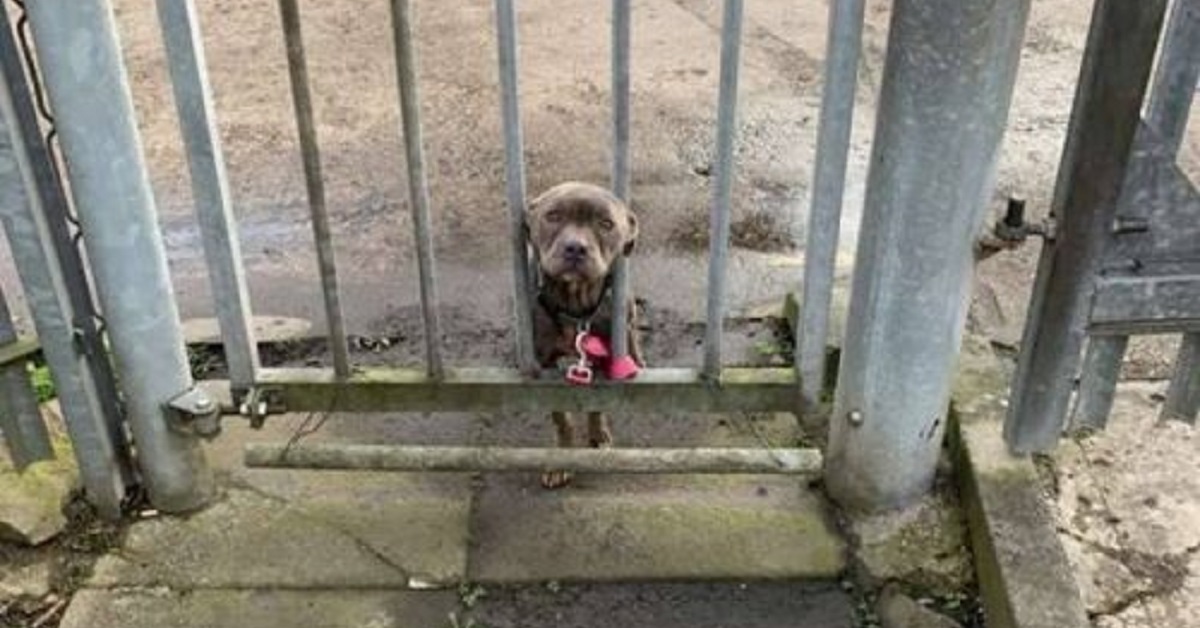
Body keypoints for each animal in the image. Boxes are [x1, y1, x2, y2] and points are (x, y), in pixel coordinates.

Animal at [523, 181, 643, 492]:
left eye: (606, 224)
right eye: (552, 216)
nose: (576, 247)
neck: (575, 308)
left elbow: (596, 406)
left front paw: (599, 438)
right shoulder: (545, 366)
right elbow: (561, 416)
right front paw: (562, 459)